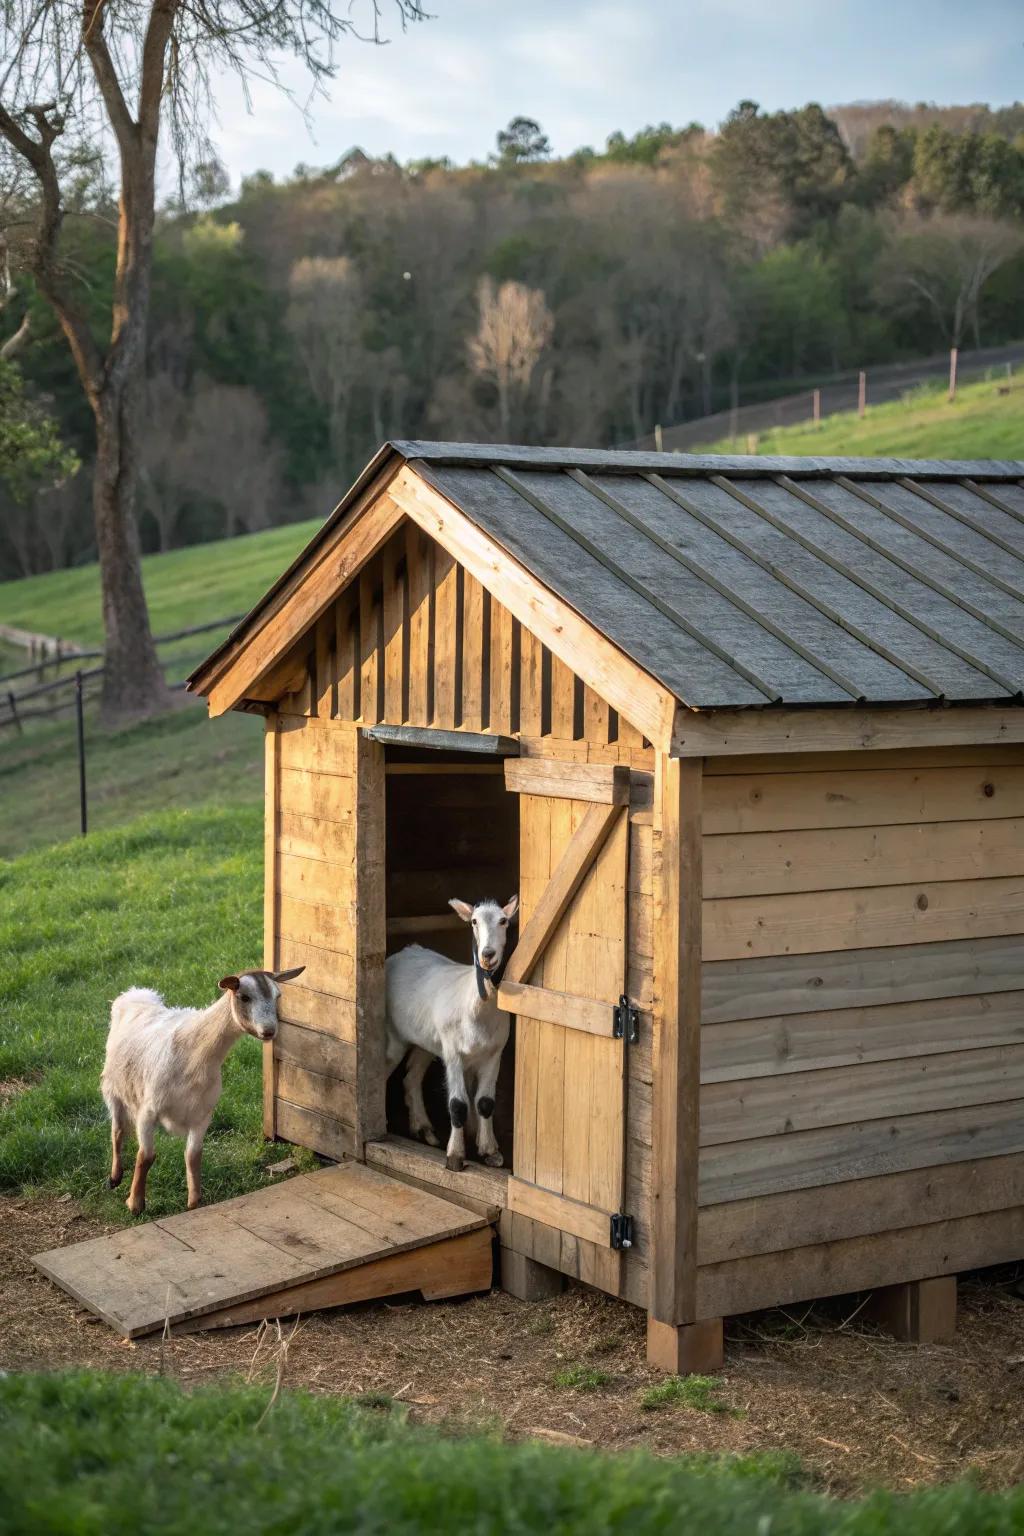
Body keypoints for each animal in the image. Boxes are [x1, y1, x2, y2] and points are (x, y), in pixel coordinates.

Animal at [100, 966, 304, 1215]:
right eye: (244, 997)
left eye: (278, 996)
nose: (269, 1031)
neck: (195, 1056)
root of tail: (136, 992)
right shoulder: (147, 1111)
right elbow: (145, 1156)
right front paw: (135, 1203)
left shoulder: (203, 1115)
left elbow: (193, 1156)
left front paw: (194, 1202)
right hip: (114, 1089)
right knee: (117, 1131)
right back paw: (114, 1177)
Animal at [385, 895, 519, 1172]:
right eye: (474, 921)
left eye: (504, 921)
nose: (487, 955)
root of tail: (405, 952)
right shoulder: (454, 1052)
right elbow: (458, 1105)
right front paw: (455, 1157)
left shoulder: (494, 1052)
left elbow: (485, 1102)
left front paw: (490, 1152)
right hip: (395, 1034)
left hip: (426, 1039)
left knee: (412, 1077)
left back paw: (424, 1129)